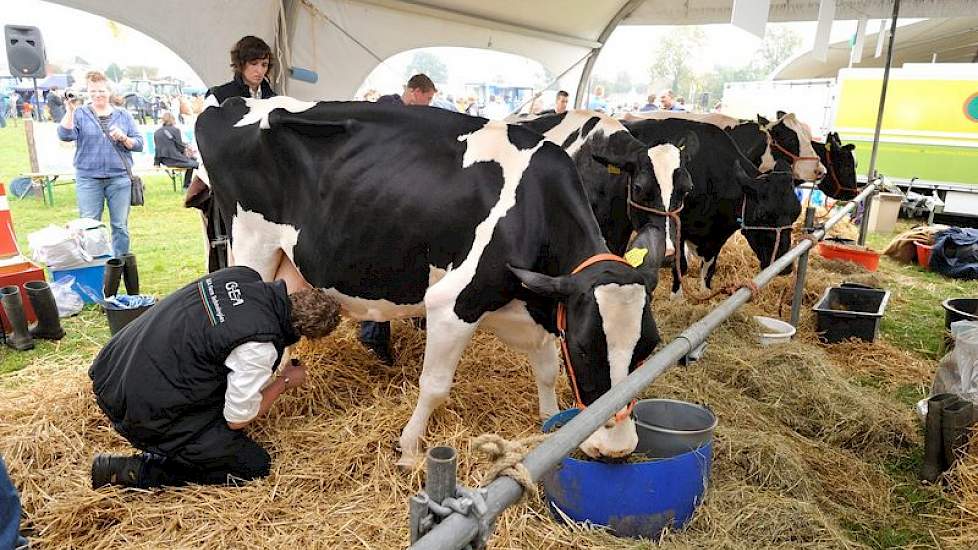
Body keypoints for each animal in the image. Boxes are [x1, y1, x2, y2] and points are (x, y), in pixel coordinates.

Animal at [189, 97, 664, 468]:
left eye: (649, 348)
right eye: (585, 348)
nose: (617, 449)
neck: (534, 209)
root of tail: (231, 104)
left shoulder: (544, 300)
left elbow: (547, 370)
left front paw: (550, 422)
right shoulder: (453, 304)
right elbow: (434, 387)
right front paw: (409, 448)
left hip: (290, 262)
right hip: (250, 244)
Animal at [624, 118, 800, 296]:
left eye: (796, 214)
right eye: (762, 215)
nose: (785, 267)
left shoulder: (717, 236)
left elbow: (708, 269)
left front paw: (705, 293)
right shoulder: (678, 229)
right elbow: (680, 265)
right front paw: (677, 297)